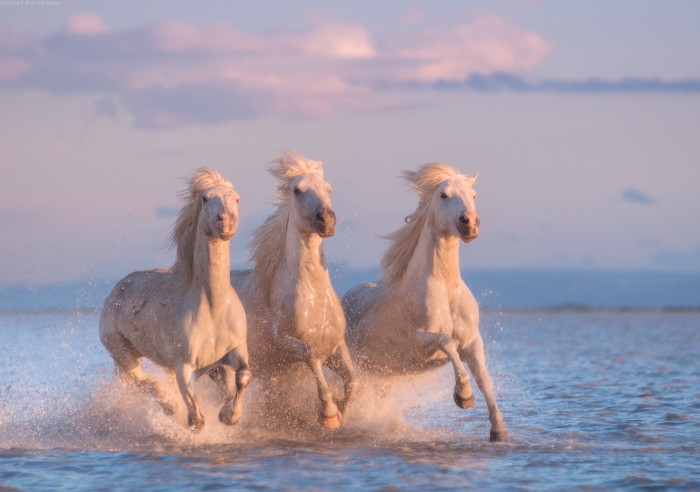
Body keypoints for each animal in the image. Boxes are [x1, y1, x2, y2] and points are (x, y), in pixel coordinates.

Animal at [99, 168, 251, 432]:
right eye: (205, 198)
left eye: (237, 199)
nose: (226, 222)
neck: (213, 307)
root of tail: (115, 293)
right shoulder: (184, 366)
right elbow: (197, 419)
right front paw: (201, 418)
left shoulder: (237, 348)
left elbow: (243, 376)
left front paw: (229, 416)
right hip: (121, 351)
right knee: (144, 382)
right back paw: (169, 406)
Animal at [227, 151, 358, 429]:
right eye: (298, 190)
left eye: (328, 188)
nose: (327, 220)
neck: (314, 298)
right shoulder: (286, 343)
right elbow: (311, 356)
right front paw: (328, 414)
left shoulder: (335, 346)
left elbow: (353, 381)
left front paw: (342, 413)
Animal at [341, 163, 508, 442]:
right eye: (443, 195)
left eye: (473, 195)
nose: (470, 223)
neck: (445, 287)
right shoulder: (419, 339)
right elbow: (447, 341)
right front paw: (463, 396)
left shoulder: (472, 341)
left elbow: (485, 379)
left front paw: (499, 430)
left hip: (382, 373)